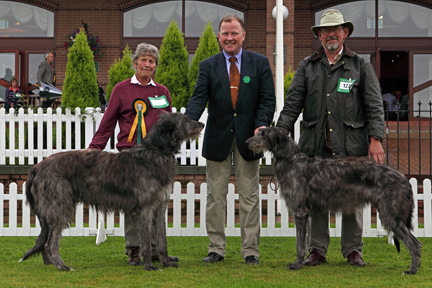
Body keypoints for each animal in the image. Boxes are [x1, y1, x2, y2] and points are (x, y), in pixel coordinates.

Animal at [21, 113, 206, 272]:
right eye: (185, 119)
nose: (202, 124)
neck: (155, 151)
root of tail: (36, 167)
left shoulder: (160, 206)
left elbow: (162, 239)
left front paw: (166, 262)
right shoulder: (145, 208)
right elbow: (146, 240)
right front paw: (149, 265)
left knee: (43, 239)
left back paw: (49, 262)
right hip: (60, 206)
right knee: (50, 242)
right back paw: (61, 265)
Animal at [246, 127, 422, 274]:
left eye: (263, 134)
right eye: (259, 132)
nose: (247, 142)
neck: (291, 160)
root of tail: (405, 180)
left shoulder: (299, 212)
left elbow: (299, 244)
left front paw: (297, 265)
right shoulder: (306, 213)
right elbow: (305, 241)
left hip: (391, 215)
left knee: (415, 243)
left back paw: (412, 270)